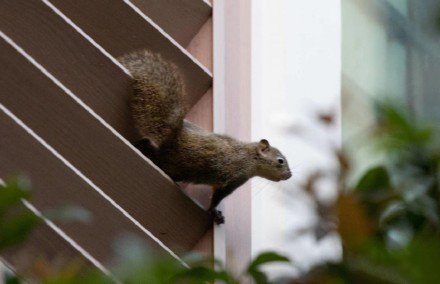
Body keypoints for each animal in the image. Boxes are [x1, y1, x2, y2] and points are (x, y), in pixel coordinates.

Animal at [117, 50, 292, 225]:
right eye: (280, 161)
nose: (289, 175)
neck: (250, 156)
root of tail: (173, 137)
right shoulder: (235, 178)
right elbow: (218, 196)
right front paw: (213, 211)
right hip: (177, 165)